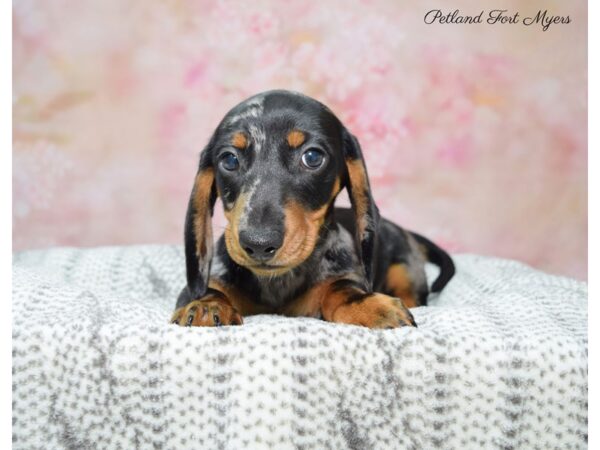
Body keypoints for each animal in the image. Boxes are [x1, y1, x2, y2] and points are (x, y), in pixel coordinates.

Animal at [171, 89, 452, 328]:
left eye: (312, 157)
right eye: (229, 159)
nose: (258, 244)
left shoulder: (345, 276)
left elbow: (341, 288)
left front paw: (367, 305)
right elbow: (207, 289)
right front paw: (205, 305)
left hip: (407, 272)